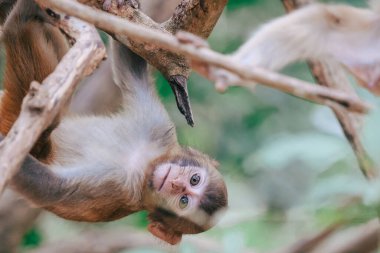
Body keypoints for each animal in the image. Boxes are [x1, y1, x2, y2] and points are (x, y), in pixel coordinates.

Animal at [0, 0, 227, 245]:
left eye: (183, 200)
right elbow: (132, 68)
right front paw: (124, 5)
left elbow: (52, 188)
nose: (176, 183)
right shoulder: (158, 126)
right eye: (194, 179)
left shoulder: (119, 189)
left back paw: (21, 17)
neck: (144, 164)